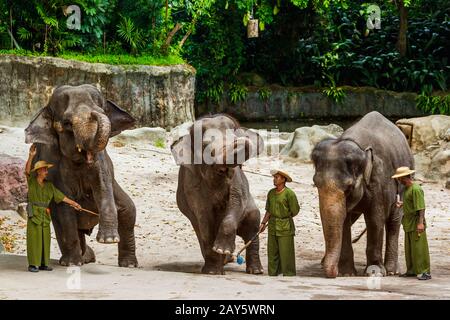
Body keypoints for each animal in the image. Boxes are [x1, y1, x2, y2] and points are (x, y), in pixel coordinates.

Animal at [24, 83, 137, 268]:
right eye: (67, 123)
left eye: (103, 110)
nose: (95, 113)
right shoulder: (54, 165)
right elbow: (64, 205)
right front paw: (72, 264)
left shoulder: (101, 160)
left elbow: (102, 186)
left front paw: (108, 240)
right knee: (63, 224)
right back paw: (77, 260)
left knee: (128, 212)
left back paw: (127, 264)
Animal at [171, 114, 264, 274]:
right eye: (206, 146)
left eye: (234, 137)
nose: (242, 139)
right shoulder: (192, 185)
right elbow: (204, 217)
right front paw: (213, 270)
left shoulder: (237, 179)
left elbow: (237, 201)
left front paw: (221, 250)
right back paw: (224, 261)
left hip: (251, 209)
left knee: (252, 224)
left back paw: (254, 270)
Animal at [312, 112, 414, 278]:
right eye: (316, 184)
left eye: (349, 187)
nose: (332, 273)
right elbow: (344, 220)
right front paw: (346, 274)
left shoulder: (379, 180)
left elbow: (375, 219)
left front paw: (375, 272)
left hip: (405, 182)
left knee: (394, 220)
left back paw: (391, 271)